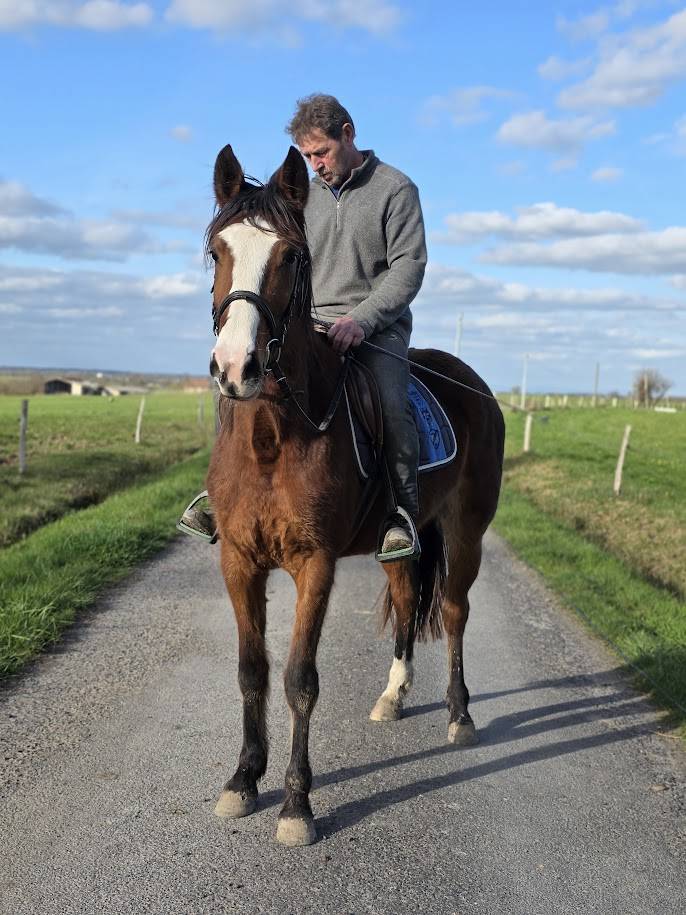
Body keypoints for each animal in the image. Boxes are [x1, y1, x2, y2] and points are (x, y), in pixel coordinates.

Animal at [205, 144, 504, 847]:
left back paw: (459, 716)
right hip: (401, 540)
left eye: (292, 256)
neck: (272, 434)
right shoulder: (238, 561)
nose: (235, 368)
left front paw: (295, 805)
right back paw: (393, 696)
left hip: (468, 534)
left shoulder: (313, 564)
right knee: (406, 598)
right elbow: (251, 671)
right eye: (214, 250)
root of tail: (474, 384)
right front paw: (242, 780)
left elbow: (299, 680)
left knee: (454, 613)